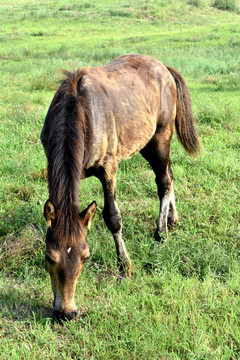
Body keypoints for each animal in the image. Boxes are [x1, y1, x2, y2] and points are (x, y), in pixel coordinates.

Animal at [40, 52, 200, 320]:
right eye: (49, 257)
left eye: (85, 257)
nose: (67, 312)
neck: (80, 112)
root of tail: (163, 68)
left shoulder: (108, 168)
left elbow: (112, 217)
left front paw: (125, 265)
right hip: (146, 143)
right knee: (169, 173)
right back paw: (172, 219)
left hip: (161, 136)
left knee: (163, 181)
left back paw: (161, 234)